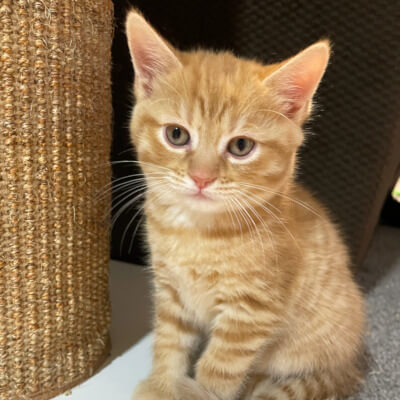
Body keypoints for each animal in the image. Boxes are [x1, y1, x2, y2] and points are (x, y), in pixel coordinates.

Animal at [126, 9, 366, 400]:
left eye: (241, 146)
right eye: (176, 135)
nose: (202, 177)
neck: (196, 234)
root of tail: (350, 365)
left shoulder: (251, 313)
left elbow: (219, 367)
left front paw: (198, 393)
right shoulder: (171, 293)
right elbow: (169, 341)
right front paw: (162, 385)